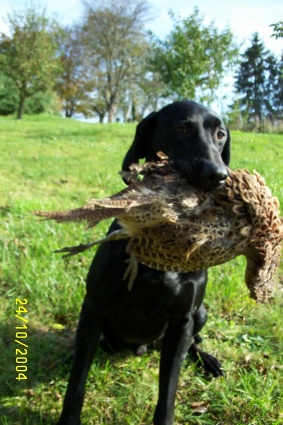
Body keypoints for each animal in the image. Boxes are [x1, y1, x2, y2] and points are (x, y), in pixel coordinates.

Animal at [57, 101, 231, 422]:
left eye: (220, 134)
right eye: (181, 128)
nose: (219, 174)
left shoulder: (182, 321)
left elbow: (168, 392)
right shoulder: (94, 307)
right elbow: (77, 383)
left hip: (200, 313)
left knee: (194, 344)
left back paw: (209, 361)